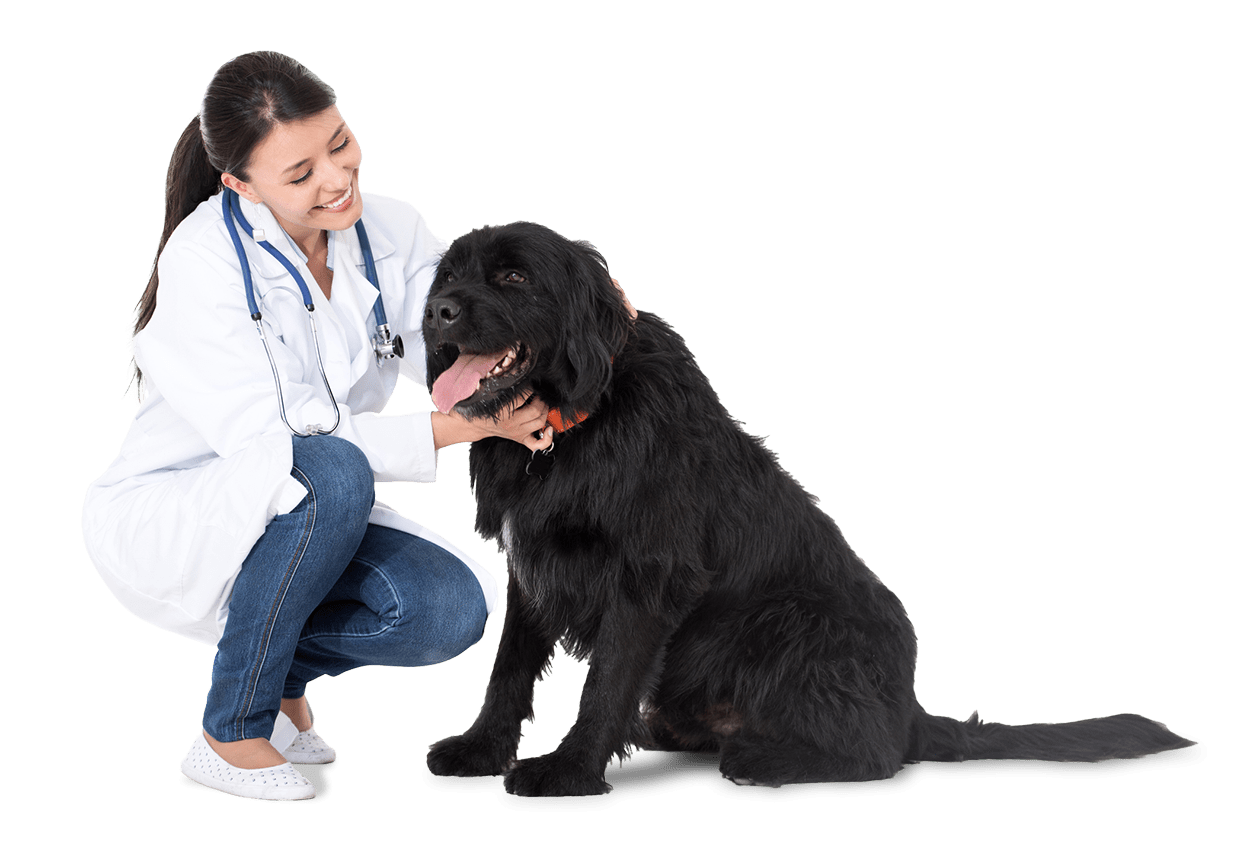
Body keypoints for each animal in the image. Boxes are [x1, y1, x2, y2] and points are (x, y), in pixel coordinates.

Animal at [420, 218, 1190, 794]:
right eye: (449, 274)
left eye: (514, 277)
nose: (436, 311)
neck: (580, 418)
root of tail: (908, 709)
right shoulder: (534, 566)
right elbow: (510, 669)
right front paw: (482, 750)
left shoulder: (648, 577)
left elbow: (605, 682)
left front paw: (571, 769)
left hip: (787, 622)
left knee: (874, 755)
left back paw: (763, 758)